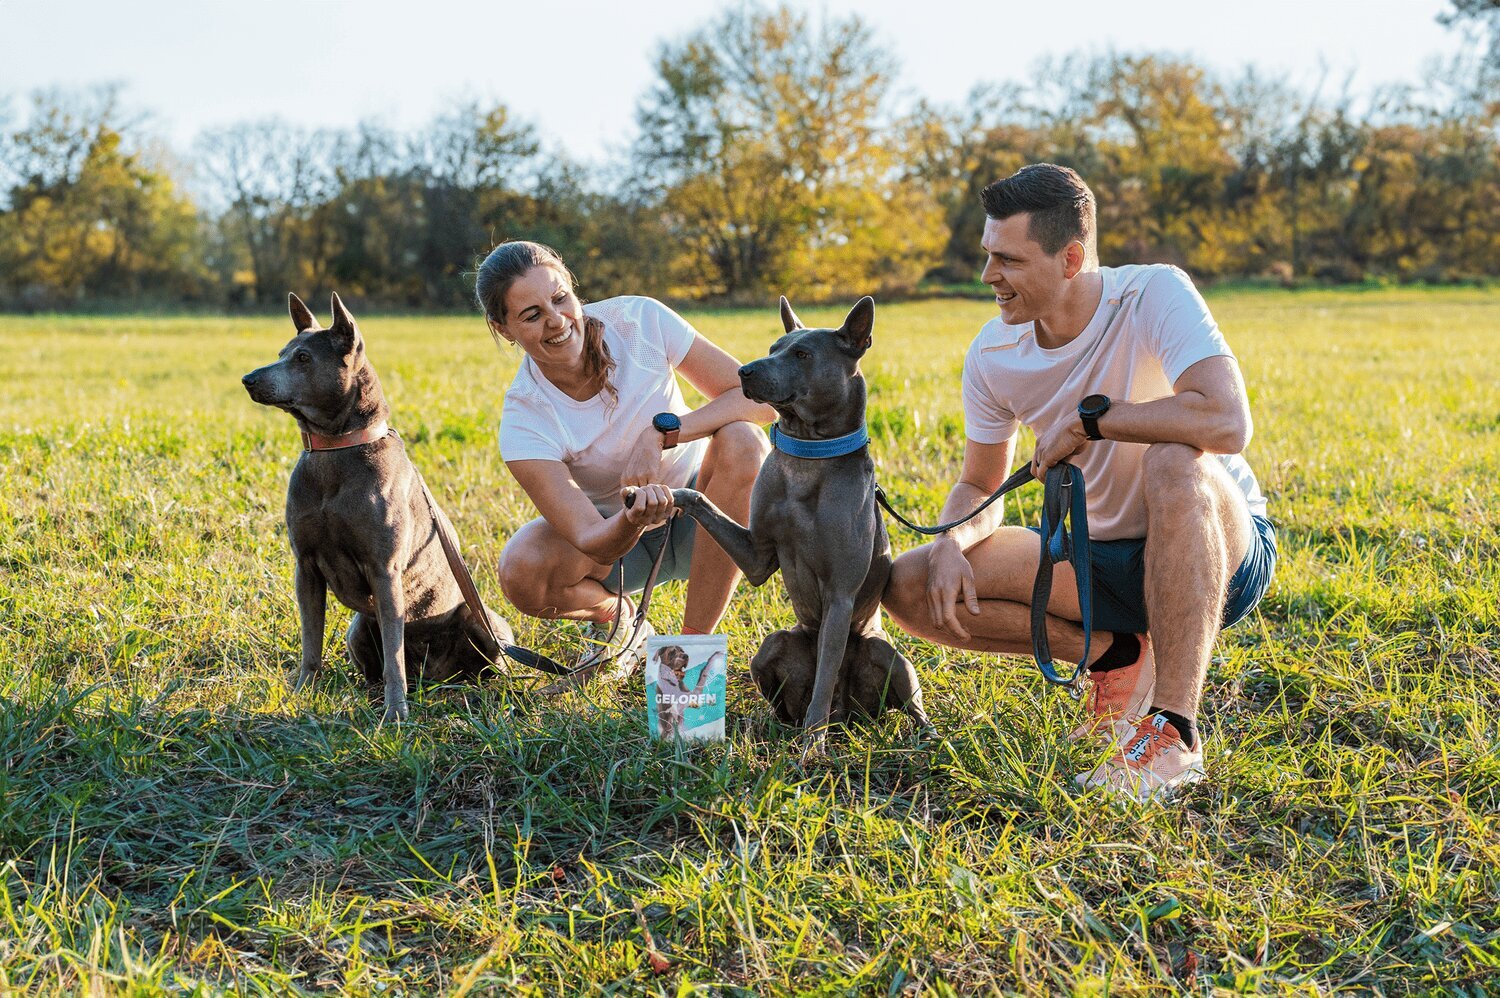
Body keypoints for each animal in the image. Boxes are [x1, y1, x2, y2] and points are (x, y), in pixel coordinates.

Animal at [243, 292, 531, 720]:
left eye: (304, 358)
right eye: (282, 353)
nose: (249, 379)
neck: (335, 450)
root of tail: (433, 676)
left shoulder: (385, 570)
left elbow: (393, 654)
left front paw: (396, 713)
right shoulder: (306, 567)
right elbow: (311, 640)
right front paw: (301, 693)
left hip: (482, 621)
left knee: (487, 664)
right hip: (359, 625)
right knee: (374, 668)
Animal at [675, 300, 930, 750]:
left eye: (802, 354)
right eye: (773, 348)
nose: (744, 371)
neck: (809, 455)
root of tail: (847, 714)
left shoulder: (840, 597)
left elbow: (825, 676)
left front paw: (813, 746)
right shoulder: (757, 557)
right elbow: (701, 502)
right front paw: (659, 493)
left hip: (889, 656)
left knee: (904, 702)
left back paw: (928, 736)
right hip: (772, 646)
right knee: (785, 700)